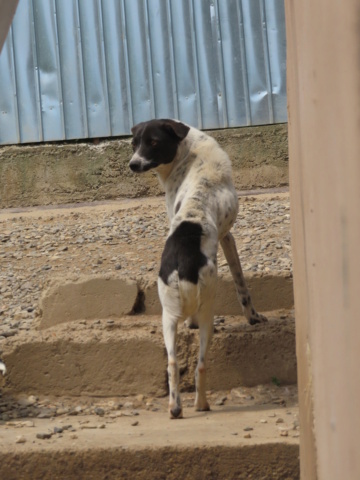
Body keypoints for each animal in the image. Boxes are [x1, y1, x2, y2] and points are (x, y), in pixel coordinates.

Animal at [130, 118, 268, 418]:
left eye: (153, 142)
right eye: (135, 143)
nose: (132, 164)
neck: (188, 152)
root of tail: (184, 254)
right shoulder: (228, 237)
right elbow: (241, 283)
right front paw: (252, 317)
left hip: (169, 316)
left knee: (173, 363)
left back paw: (177, 407)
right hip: (203, 311)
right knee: (198, 360)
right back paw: (197, 404)